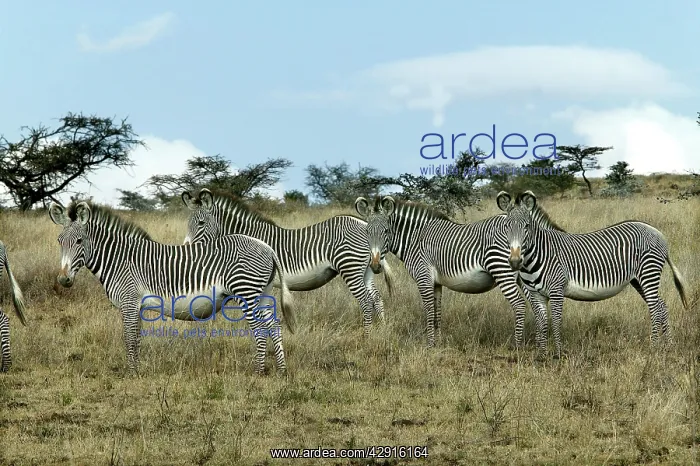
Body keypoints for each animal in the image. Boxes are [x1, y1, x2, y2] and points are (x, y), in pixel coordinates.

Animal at [49, 200, 296, 375]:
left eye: (79, 241)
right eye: (60, 241)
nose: (63, 280)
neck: (120, 259)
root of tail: (267, 247)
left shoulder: (128, 302)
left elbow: (128, 337)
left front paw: (130, 373)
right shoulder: (136, 306)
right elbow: (136, 338)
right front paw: (137, 369)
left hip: (246, 291)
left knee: (260, 328)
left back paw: (258, 371)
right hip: (262, 293)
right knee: (273, 325)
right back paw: (282, 370)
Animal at [181, 188, 395, 333]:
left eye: (201, 223)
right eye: (187, 224)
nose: (185, 248)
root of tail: (363, 223)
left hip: (350, 267)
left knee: (366, 301)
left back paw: (366, 335)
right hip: (366, 270)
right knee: (376, 298)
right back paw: (381, 331)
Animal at [353, 195, 566, 348]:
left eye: (386, 231)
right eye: (367, 233)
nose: (375, 266)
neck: (416, 239)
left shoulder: (423, 277)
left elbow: (428, 310)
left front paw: (429, 345)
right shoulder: (436, 283)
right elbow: (437, 312)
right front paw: (437, 342)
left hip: (502, 271)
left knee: (520, 305)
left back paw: (518, 347)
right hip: (525, 277)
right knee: (537, 308)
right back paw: (539, 344)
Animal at [496, 190, 689, 359]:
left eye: (527, 226)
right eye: (506, 227)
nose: (514, 262)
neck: (540, 253)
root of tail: (658, 232)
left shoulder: (557, 291)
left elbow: (556, 322)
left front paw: (558, 354)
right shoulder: (536, 294)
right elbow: (541, 323)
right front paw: (541, 356)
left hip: (648, 273)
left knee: (655, 307)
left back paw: (654, 346)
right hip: (638, 280)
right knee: (661, 305)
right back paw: (669, 345)